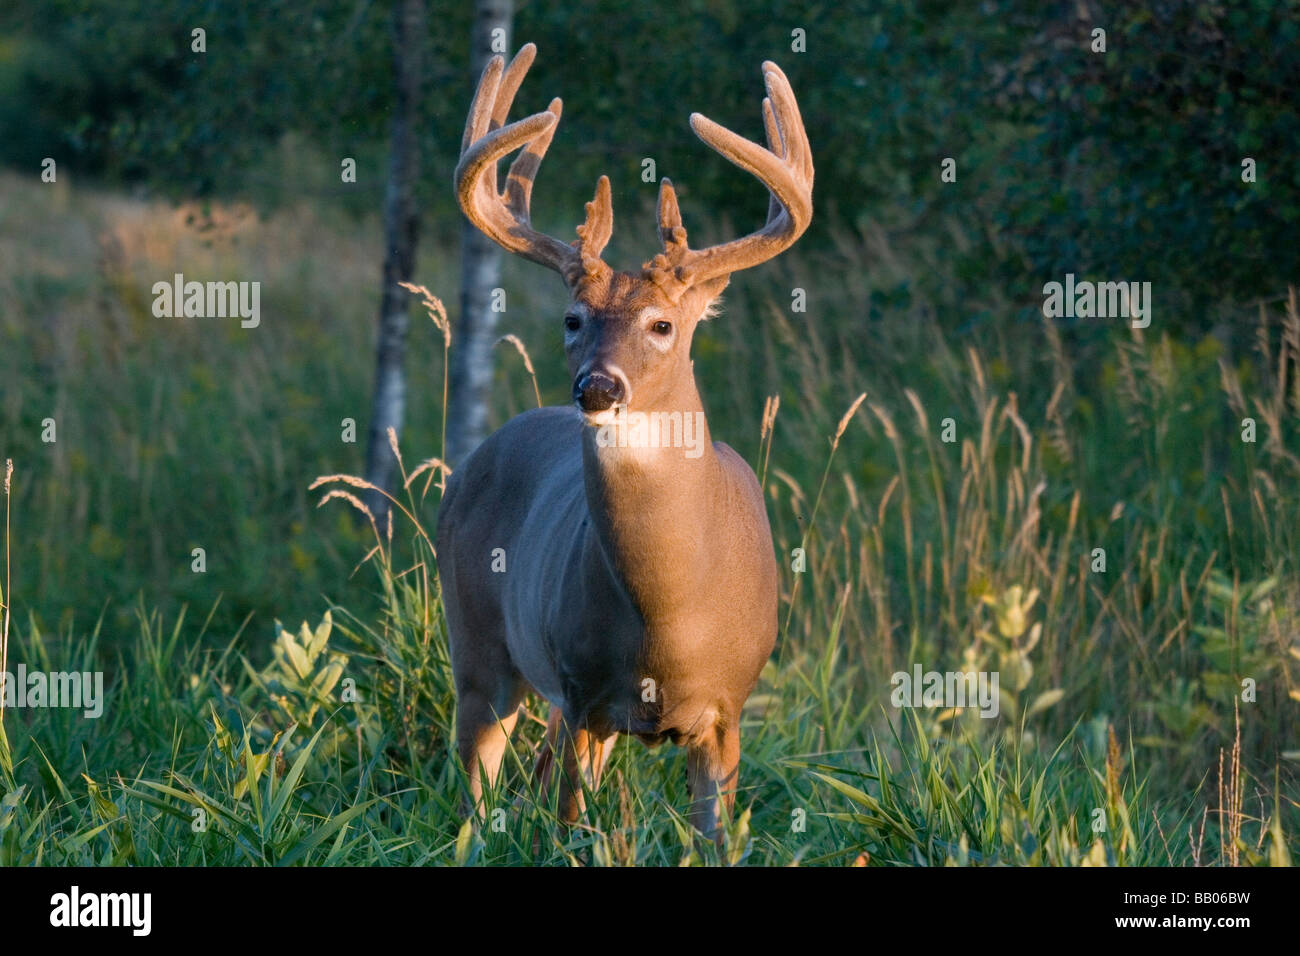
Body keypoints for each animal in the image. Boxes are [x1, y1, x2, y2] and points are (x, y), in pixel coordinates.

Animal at [436, 41, 806, 842]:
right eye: (573, 319)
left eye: (663, 324)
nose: (598, 389)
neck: (669, 617)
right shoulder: (581, 691)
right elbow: (573, 825)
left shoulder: (726, 711)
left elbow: (712, 839)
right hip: (479, 646)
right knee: (478, 786)